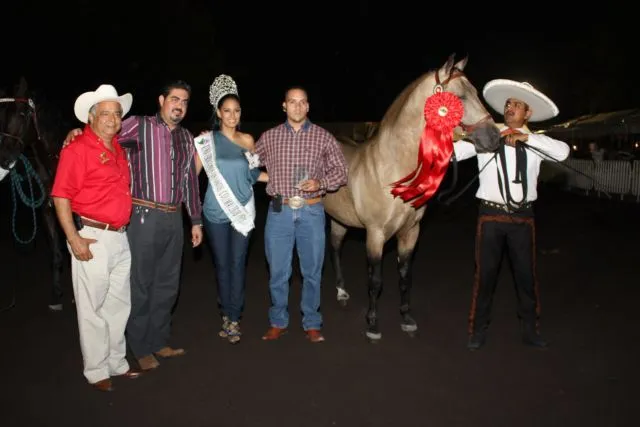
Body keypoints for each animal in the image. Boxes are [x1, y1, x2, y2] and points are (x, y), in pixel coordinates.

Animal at [0, 77, 66, 310]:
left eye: (21, 114)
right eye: (2, 114)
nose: (4, 158)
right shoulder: (48, 211)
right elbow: (56, 253)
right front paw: (57, 294)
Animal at [324, 55, 500, 342]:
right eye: (460, 97)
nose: (494, 138)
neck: (391, 168)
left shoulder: (410, 232)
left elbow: (405, 277)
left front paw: (406, 319)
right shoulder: (375, 234)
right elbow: (375, 281)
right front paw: (373, 324)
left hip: (340, 218)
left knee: (336, 247)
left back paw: (341, 292)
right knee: (335, 249)